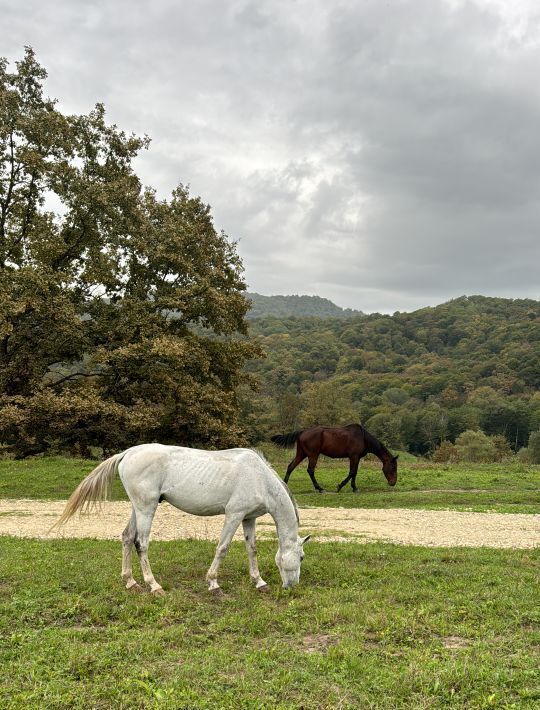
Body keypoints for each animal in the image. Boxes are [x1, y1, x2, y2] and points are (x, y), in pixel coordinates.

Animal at [55, 444, 310, 596]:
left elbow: (252, 549)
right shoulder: (234, 515)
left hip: (138, 508)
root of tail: (128, 453)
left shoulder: (248, 518)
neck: (259, 477)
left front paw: (259, 582)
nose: (292, 586)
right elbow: (223, 547)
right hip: (146, 509)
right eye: (301, 557)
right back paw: (154, 586)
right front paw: (213, 583)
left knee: (127, 537)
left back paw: (131, 582)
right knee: (141, 543)